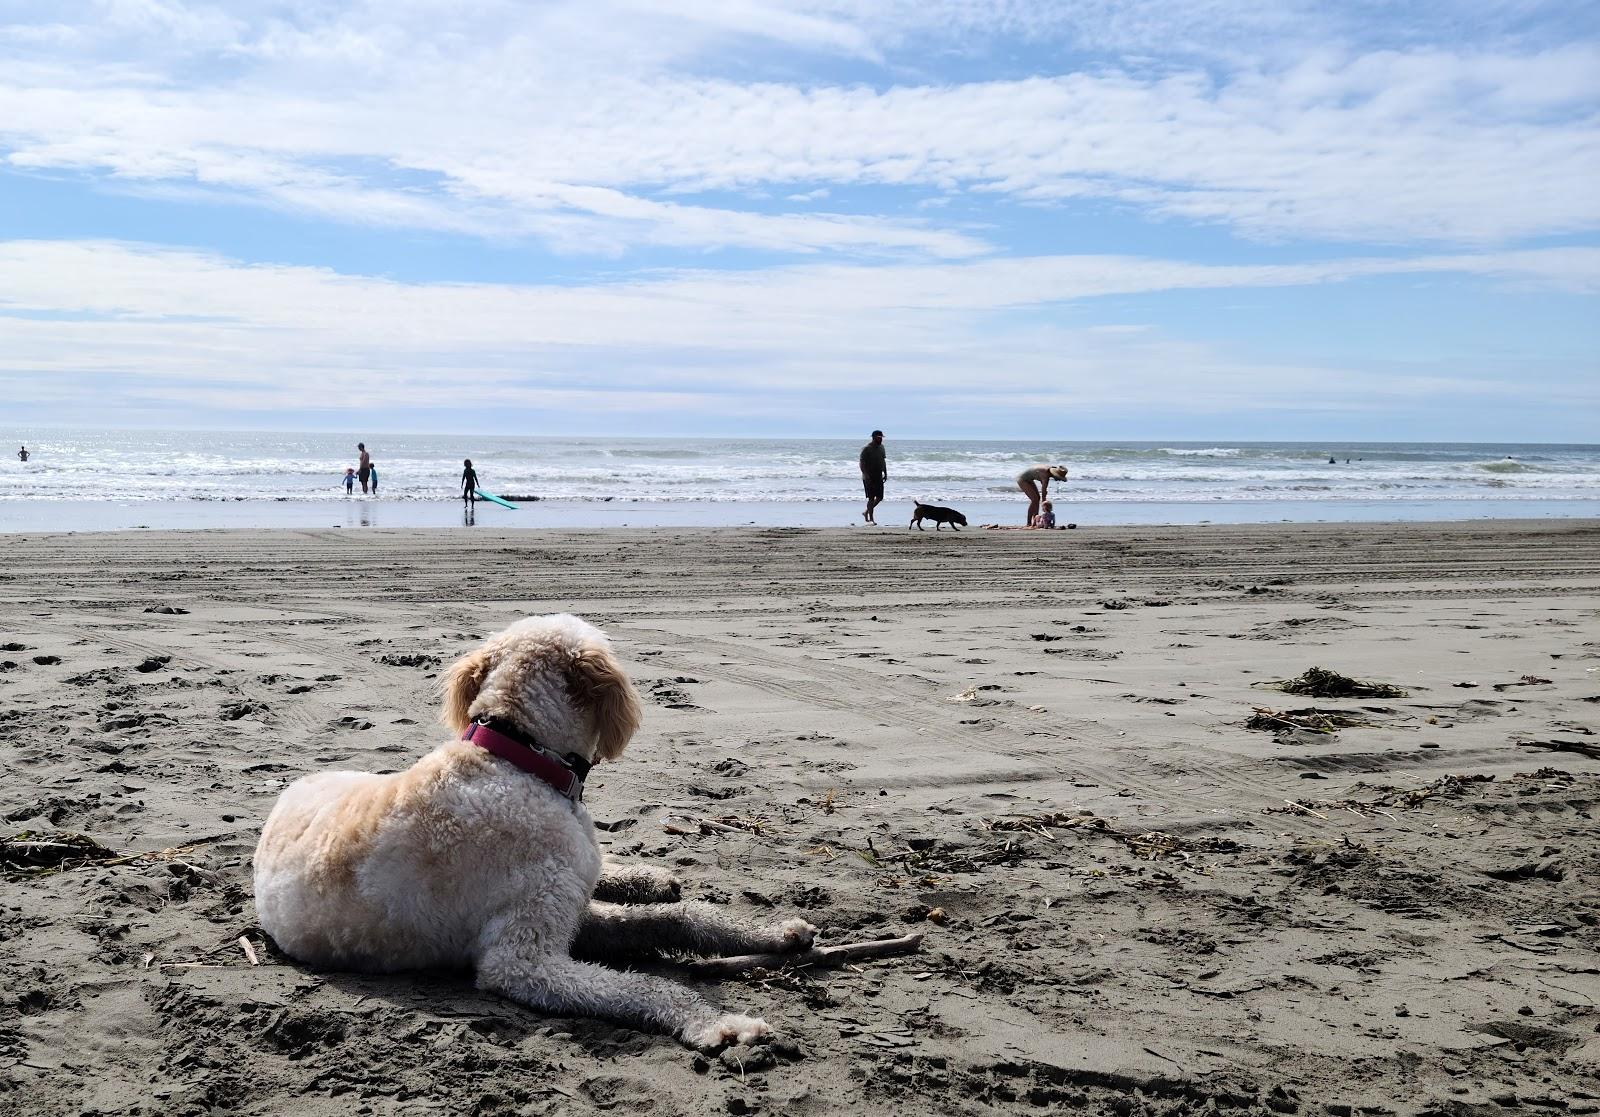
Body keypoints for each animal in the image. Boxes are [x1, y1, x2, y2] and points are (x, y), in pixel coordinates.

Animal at [259, 617, 825, 1043]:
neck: (518, 759)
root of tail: (288, 792)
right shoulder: (524, 956)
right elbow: (645, 986)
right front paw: (717, 1023)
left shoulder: (568, 901)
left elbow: (678, 918)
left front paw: (771, 933)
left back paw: (649, 876)